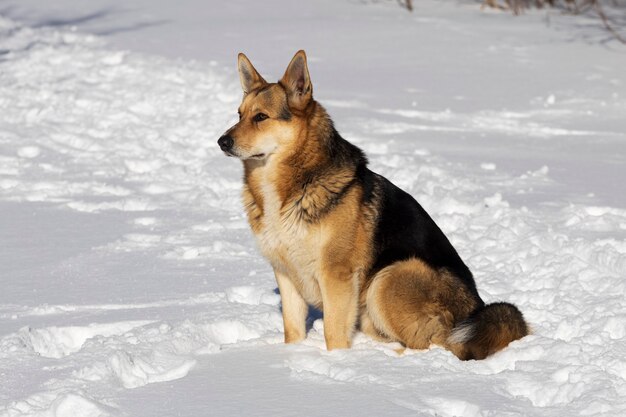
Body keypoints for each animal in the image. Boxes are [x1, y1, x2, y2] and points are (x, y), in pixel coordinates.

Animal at [217, 50, 524, 360]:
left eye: (261, 117)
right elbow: (293, 331)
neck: (292, 186)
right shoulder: (286, 274)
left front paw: (338, 361)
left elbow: (333, 333)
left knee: (437, 344)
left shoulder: (336, 275)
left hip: (390, 276)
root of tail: (476, 309)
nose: (222, 141)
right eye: (239, 114)